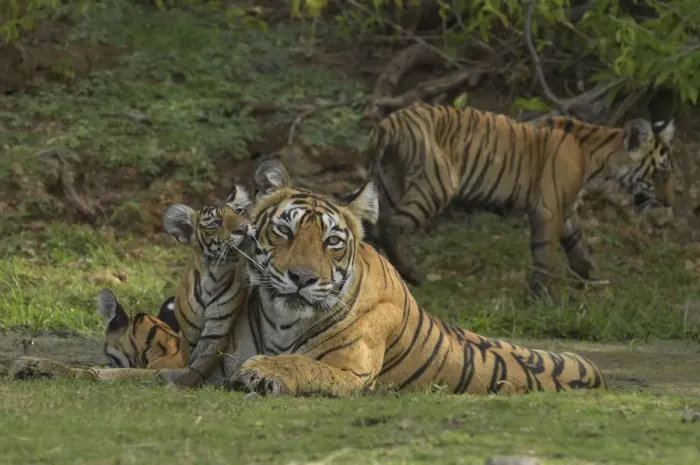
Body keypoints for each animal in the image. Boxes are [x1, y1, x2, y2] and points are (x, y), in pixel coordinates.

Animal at [12, 158, 607, 397]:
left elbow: (302, 364)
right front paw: (38, 366)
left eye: (332, 243)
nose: (300, 278)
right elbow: (109, 374)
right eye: (284, 231)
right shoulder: (190, 367)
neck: (283, 317)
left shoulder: (353, 371)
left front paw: (263, 371)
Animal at [351, 102, 676, 299]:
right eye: (661, 173)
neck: (599, 160)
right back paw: (413, 274)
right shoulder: (549, 208)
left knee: (373, 231)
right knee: (391, 226)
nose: (669, 203)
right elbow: (546, 254)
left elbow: (578, 246)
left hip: (388, 186)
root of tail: (390, 122)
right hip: (437, 184)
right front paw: (539, 298)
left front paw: (589, 282)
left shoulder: (566, 209)